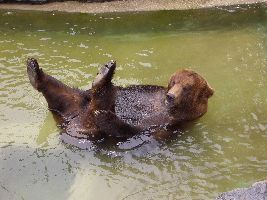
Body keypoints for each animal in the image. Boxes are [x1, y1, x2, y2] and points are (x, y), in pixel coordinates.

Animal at [26, 58, 214, 141]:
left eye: (187, 87)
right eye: (174, 82)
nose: (171, 96)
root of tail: (68, 123)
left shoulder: (172, 121)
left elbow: (142, 128)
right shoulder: (154, 91)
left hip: (91, 126)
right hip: (76, 103)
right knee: (67, 93)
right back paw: (34, 69)